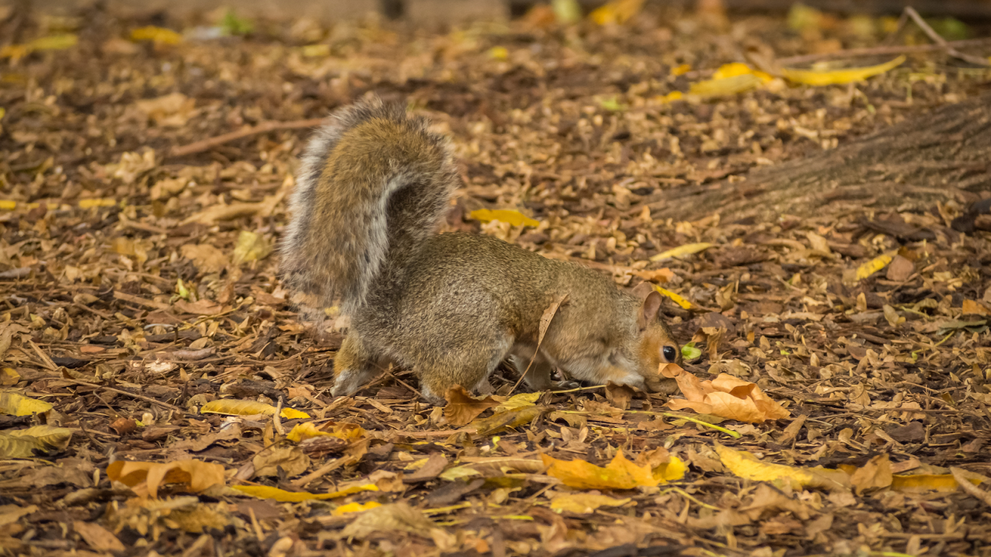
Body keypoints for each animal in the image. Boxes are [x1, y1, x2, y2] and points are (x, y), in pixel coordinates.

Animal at [281, 96, 681, 404]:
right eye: (669, 352)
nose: (672, 384)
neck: (619, 315)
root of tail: (387, 316)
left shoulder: (532, 350)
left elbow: (536, 371)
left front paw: (551, 386)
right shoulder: (576, 332)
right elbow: (586, 363)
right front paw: (626, 378)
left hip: (370, 346)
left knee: (353, 362)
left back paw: (341, 386)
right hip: (480, 334)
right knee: (436, 386)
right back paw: (484, 396)